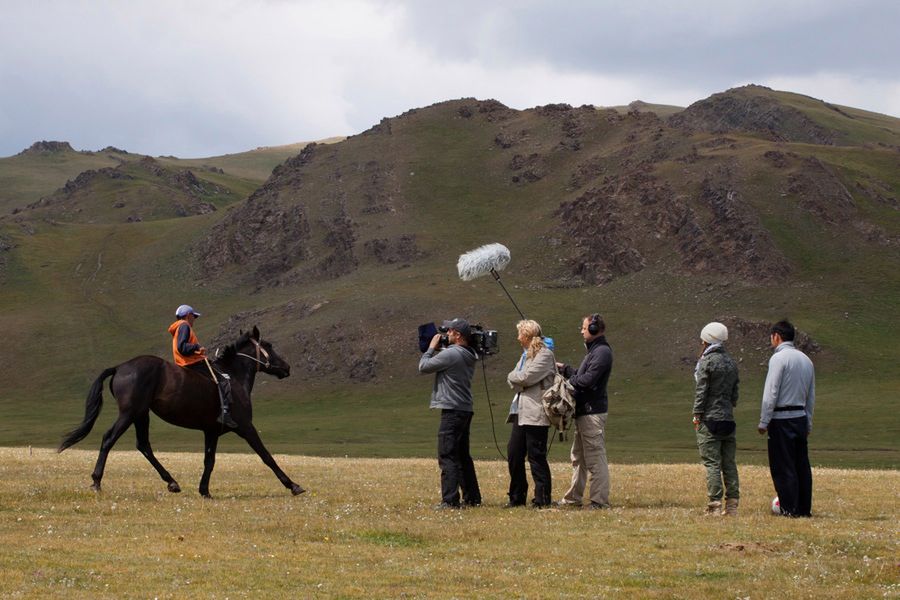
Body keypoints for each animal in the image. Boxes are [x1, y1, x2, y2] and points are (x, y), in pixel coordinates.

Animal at [59, 328, 308, 496]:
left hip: (141, 414)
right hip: (129, 413)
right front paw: (293, 485)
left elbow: (209, 460)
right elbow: (266, 456)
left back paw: (172, 482)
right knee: (109, 439)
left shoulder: (211, 431)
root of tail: (120, 367)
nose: (286, 367)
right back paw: (96, 481)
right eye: (269, 345)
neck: (233, 378)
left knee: (144, 445)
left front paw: (204, 490)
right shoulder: (246, 427)